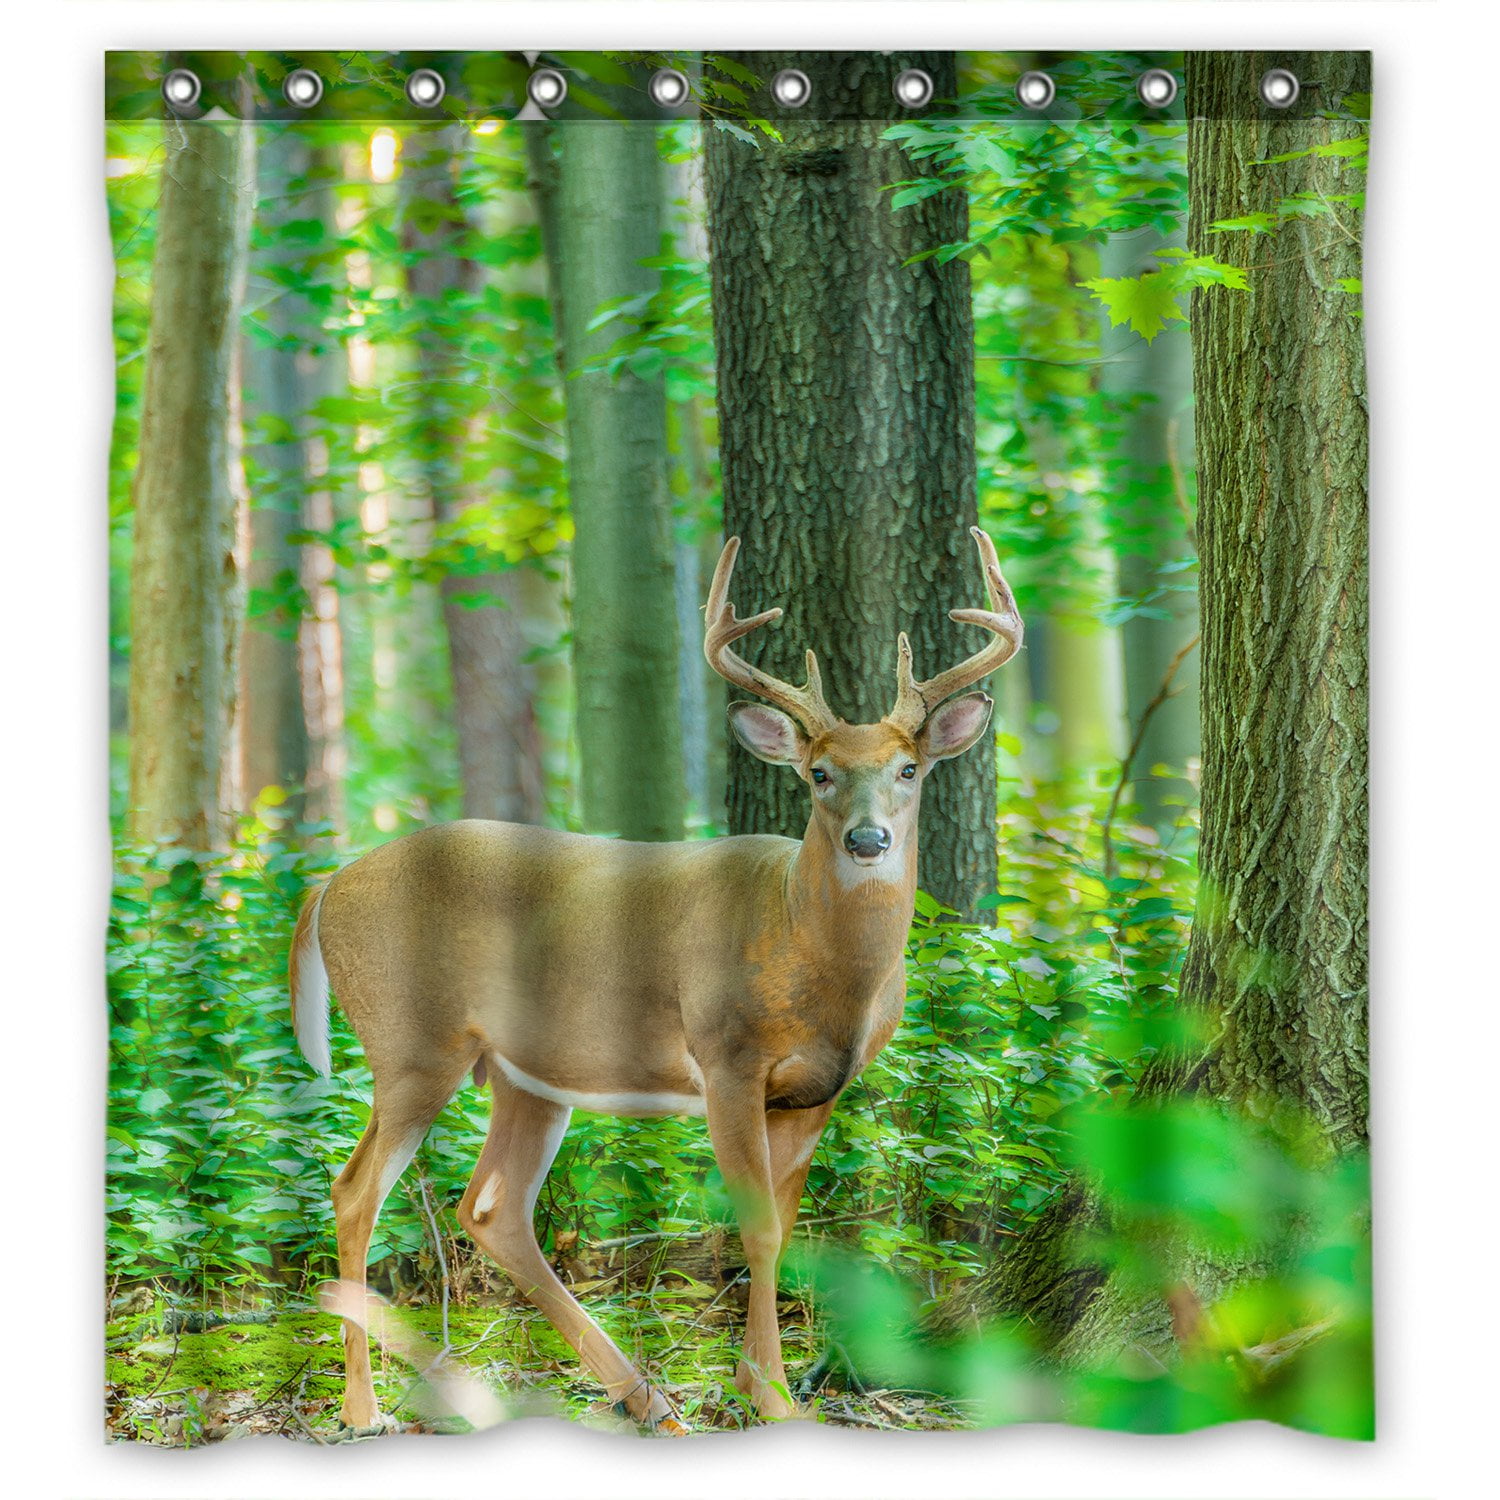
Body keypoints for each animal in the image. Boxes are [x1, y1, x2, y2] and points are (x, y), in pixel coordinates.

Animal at [289, 527, 1023, 1434]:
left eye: (909, 769)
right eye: (818, 773)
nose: (868, 839)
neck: (809, 952)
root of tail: (328, 887)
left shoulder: (818, 1090)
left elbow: (784, 1226)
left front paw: (750, 1383)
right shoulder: (727, 1059)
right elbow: (758, 1230)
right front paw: (775, 1398)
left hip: (528, 1072)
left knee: (491, 1209)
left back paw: (640, 1397)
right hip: (411, 1040)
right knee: (356, 1191)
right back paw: (365, 1409)